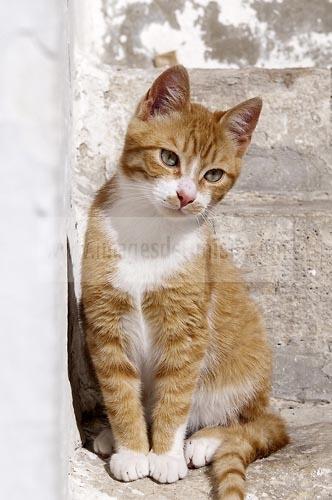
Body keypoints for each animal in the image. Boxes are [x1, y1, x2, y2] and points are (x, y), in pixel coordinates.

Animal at [81, 66, 290, 500]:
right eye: (168, 158)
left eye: (213, 175)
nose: (186, 196)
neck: (149, 231)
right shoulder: (105, 322)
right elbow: (120, 391)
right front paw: (132, 449)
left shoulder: (187, 329)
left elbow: (175, 397)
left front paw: (163, 455)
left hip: (244, 362)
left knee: (247, 420)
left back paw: (205, 440)